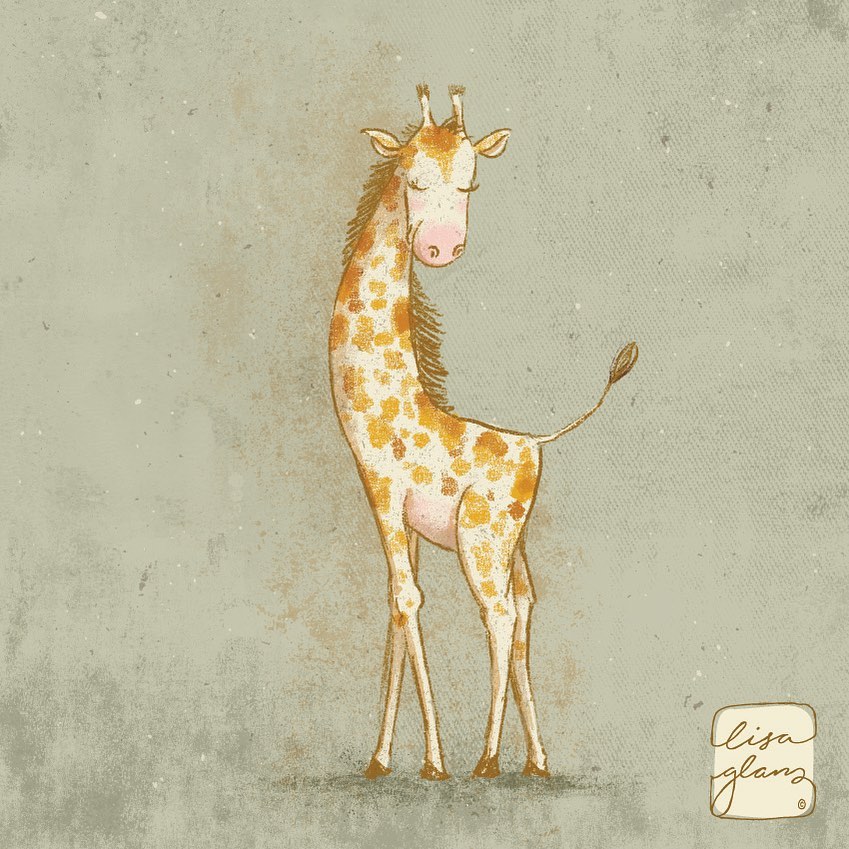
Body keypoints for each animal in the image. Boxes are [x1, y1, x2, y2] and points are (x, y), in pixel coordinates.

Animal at [328, 84, 638, 781]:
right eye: (412, 176)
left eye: (471, 184)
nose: (440, 248)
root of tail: (538, 443)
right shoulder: (395, 507)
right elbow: (394, 606)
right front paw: (379, 759)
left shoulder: (383, 487)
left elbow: (408, 601)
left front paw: (431, 760)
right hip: (510, 542)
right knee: (524, 611)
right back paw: (536, 760)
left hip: (482, 537)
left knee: (497, 615)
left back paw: (487, 759)